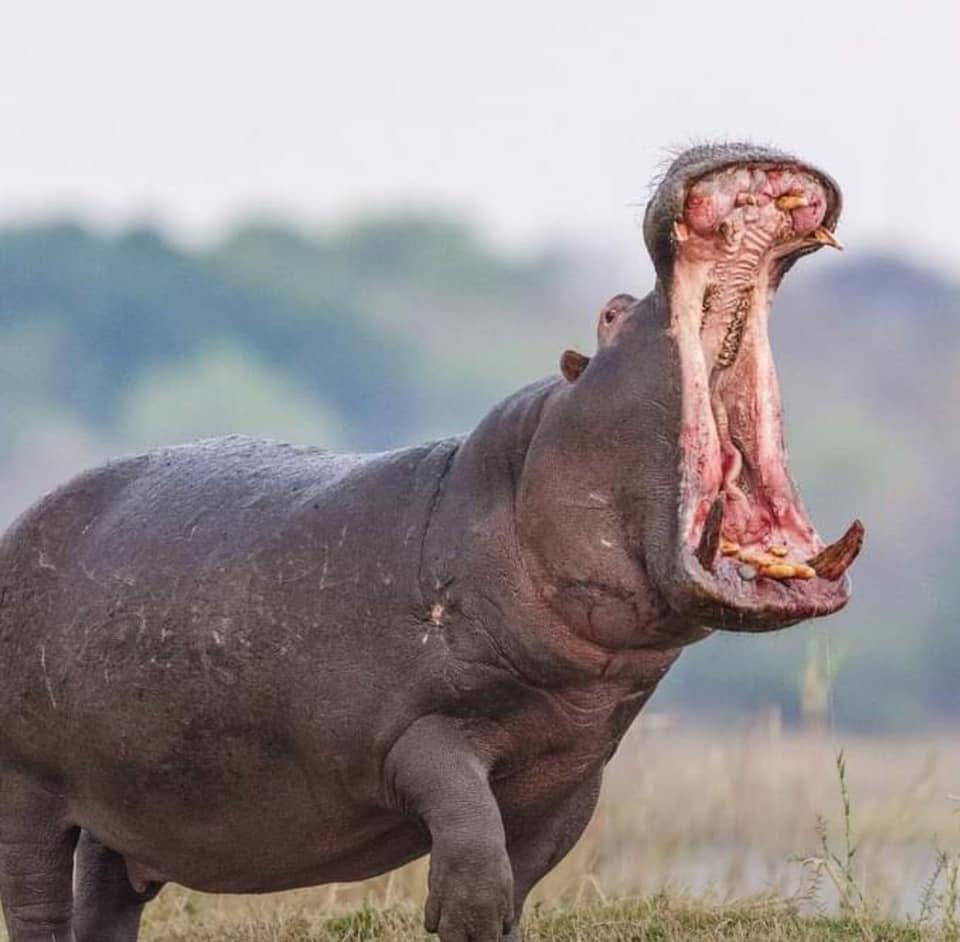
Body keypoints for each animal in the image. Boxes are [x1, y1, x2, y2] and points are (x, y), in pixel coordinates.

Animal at [0, 142, 863, 941]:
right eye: (613, 312)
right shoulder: (414, 730)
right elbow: (466, 820)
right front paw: (459, 912)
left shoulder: (572, 775)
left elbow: (524, 872)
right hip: (29, 784)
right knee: (37, 900)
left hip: (126, 806)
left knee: (106, 898)